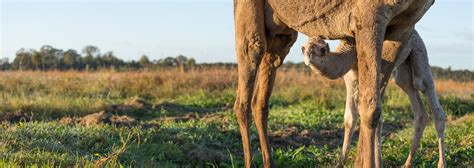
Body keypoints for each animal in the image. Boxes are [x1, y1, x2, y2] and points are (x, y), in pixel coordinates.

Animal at [232, 0, 434, 168]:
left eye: (321, 49)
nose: (310, 55)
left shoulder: (403, 26)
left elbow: (373, 110)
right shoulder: (370, 14)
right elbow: (370, 109)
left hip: (281, 33)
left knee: (262, 96)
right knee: (252, 56)